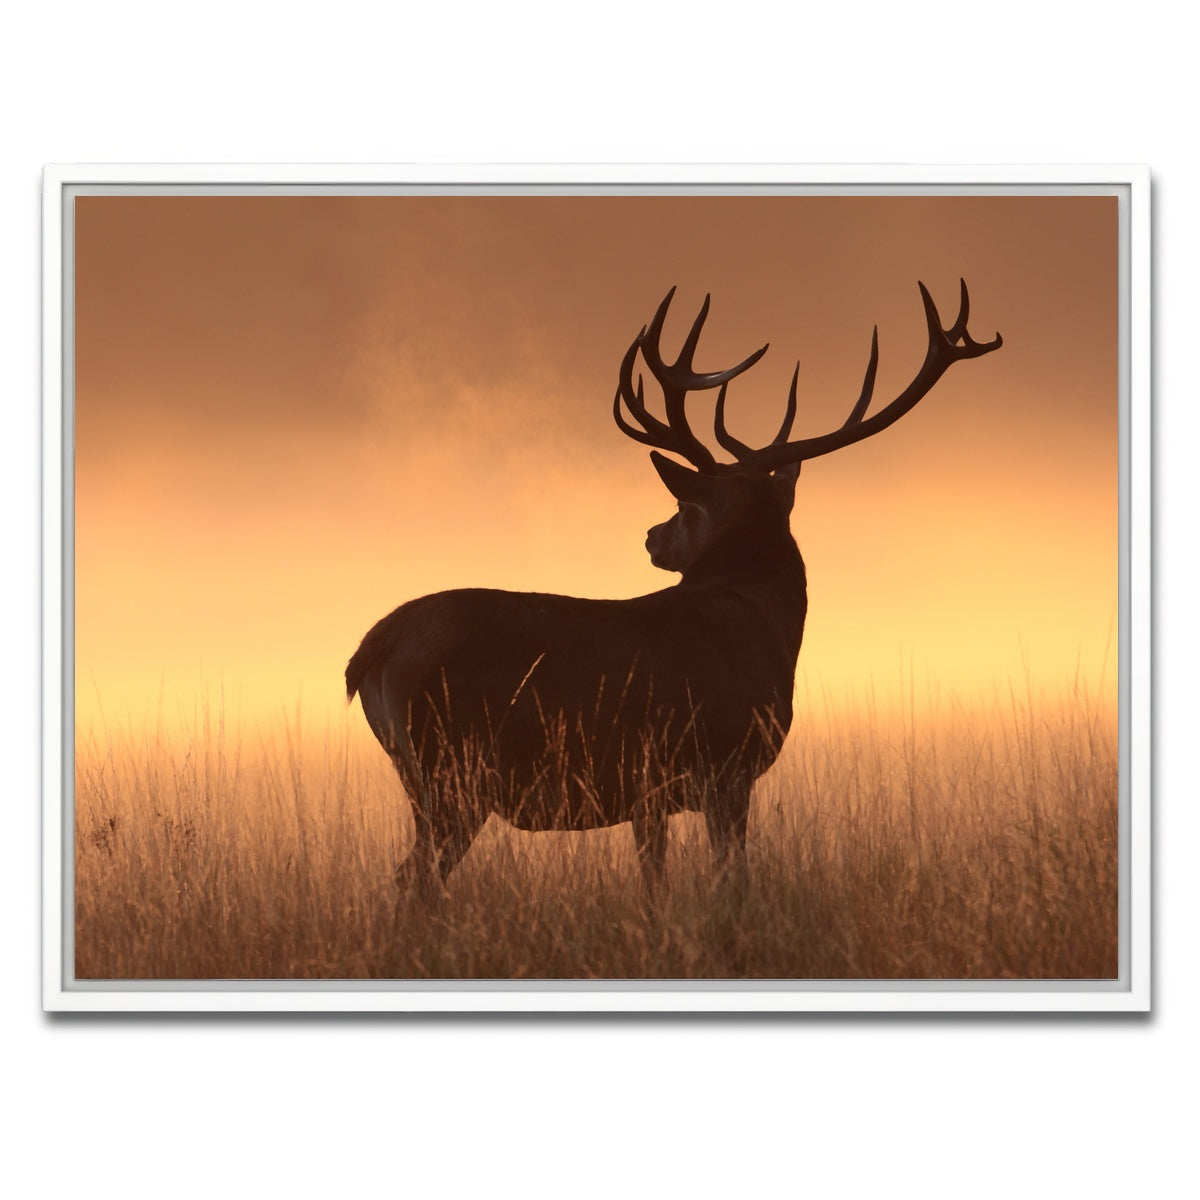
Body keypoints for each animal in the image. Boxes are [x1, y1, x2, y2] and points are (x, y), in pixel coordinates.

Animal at [346, 281, 1001, 900]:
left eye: (684, 509)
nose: (651, 537)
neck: (766, 625)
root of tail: (370, 652)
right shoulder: (726, 765)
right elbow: (731, 877)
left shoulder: (649, 792)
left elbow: (654, 882)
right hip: (452, 770)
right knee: (413, 879)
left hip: (433, 777)